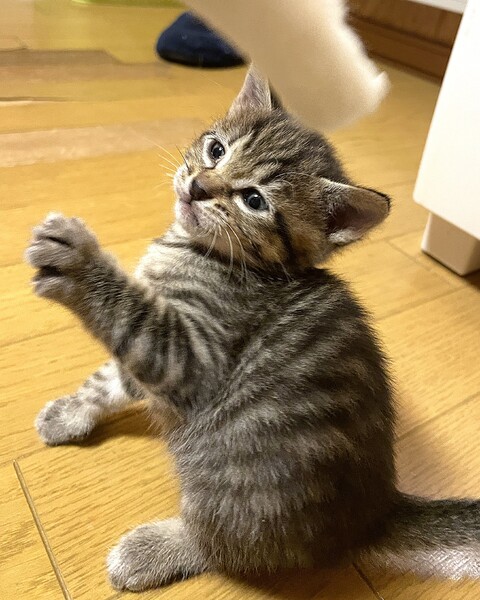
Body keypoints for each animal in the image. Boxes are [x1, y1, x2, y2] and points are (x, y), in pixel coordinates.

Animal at [25, 66, 480, 592]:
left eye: (254, 200)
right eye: (216, 150)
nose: (198, 186)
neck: (200, 252)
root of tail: (374, 512)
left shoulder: (191, 355)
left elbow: (131, 319)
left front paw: (80, 264)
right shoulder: (151, 349)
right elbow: (114, 377)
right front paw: (73, 412)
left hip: (230, 478)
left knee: (228, 548)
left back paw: (153, 549)